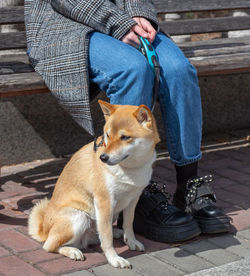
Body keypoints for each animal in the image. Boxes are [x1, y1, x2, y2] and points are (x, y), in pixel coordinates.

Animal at [27, 100, 160, 268]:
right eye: (107, 135)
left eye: (125, 137)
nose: (103, 157)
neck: (129, 169)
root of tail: (44, 230)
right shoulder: (105, 201)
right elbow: (107, 239)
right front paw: (114, 258)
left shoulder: (133, 199)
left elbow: (128, 224)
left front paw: (131, 241)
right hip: (79, 218)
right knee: (50, 245)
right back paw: (73, 251)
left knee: (97, 234)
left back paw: (115, 232)